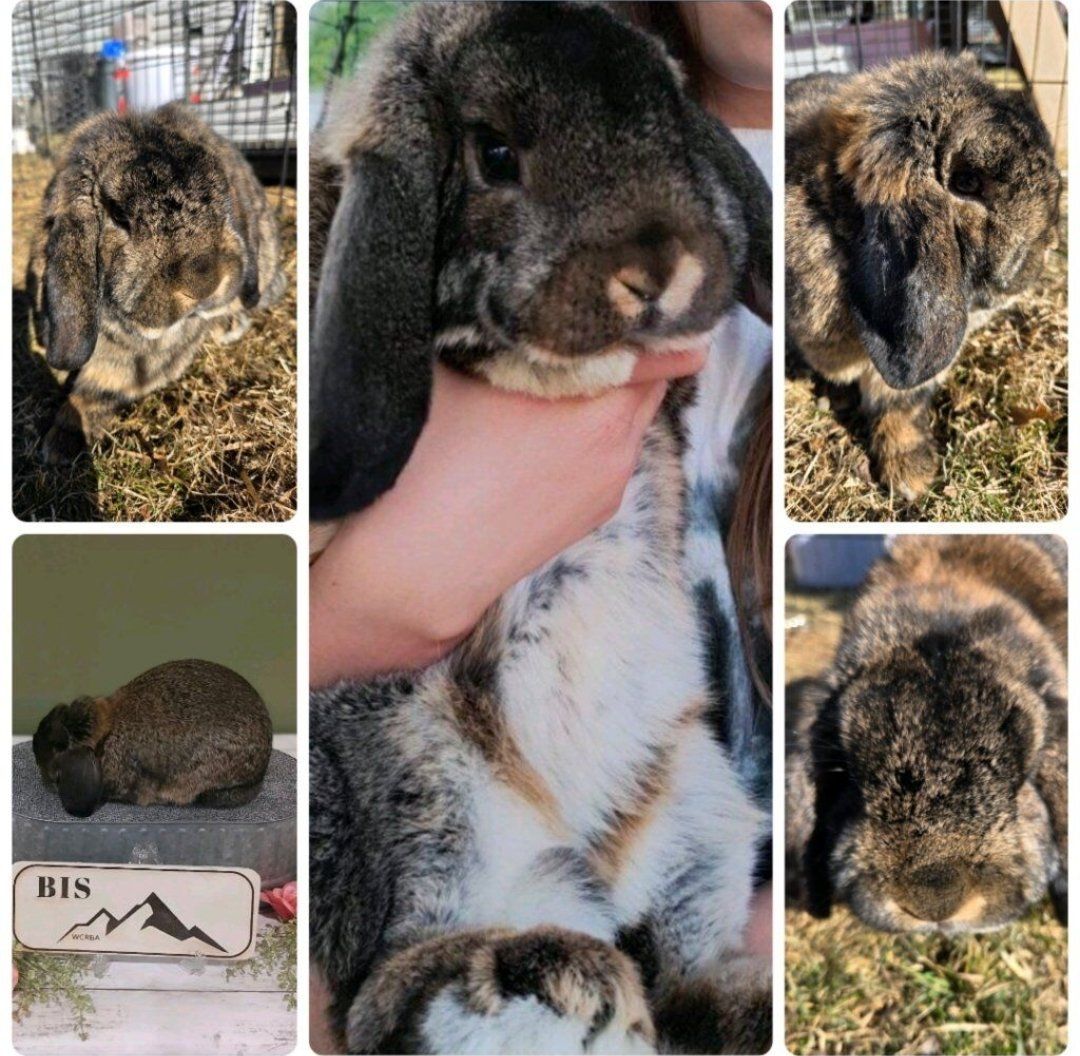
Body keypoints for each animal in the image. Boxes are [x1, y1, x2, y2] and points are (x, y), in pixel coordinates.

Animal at [310, 3, 772, 1053]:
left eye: (669, 119)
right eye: (494, 153)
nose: (658, 267)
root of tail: (599, 862)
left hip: (701, 818)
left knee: (682, 975)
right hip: (435, 803)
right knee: (393, 994)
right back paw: (554, 972)